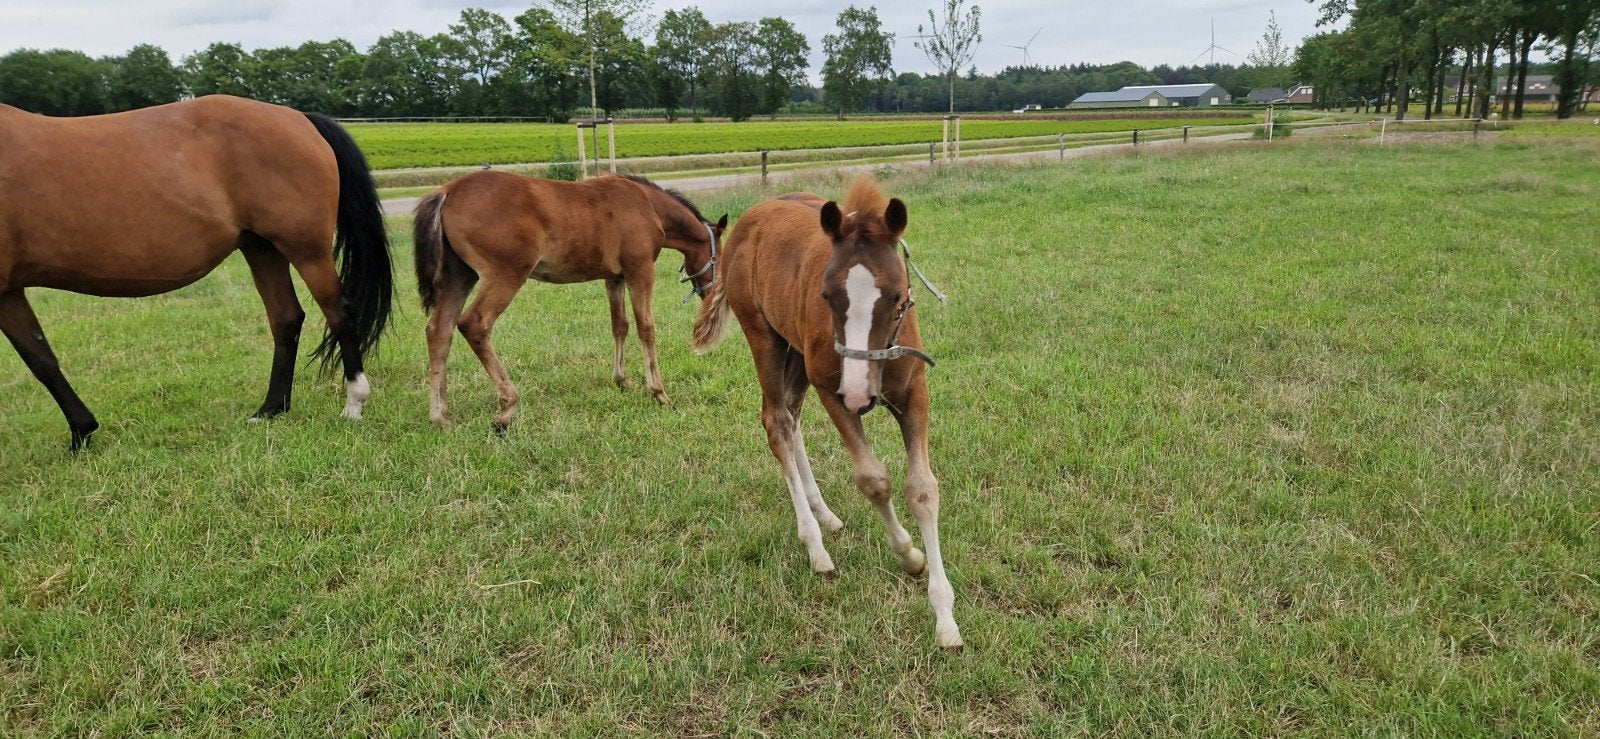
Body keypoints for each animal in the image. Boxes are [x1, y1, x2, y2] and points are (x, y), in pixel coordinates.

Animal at [0, 95, 393, 452]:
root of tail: (297, 117)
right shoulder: (9, 293)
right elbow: (41, 358)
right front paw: (82, 431)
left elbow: (40, 361)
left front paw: (81, 432)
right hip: (261, 248)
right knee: (286, 318)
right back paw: (270, 409)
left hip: (305, 249)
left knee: (338, 312)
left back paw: (354, 402)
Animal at [411, 171, 726, 431]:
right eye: (720, 258)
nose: (711, 293)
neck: (648, 205)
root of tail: (448, 191)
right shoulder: (640, 270)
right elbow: (646, 327)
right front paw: (659, 393)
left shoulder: (615, 278)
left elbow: (620, 325)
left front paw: (621, 380)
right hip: (505, 274)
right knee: (474, 325)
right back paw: (508, 407)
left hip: (458, 276)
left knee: (439, 331)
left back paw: (440, 415)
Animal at [690, 177, 962, 651]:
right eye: (826, 295)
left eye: (898, 297)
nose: (858, 394)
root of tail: (751, 216)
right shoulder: (830, 390)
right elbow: (873, 480)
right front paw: (910, 555)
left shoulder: (914, 392)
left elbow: (922, 488)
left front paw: (945, 617)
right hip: (765, 337)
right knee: (777, 422)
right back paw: (815, 546)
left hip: (795, 350)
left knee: (792, 415)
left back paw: (825, 514)